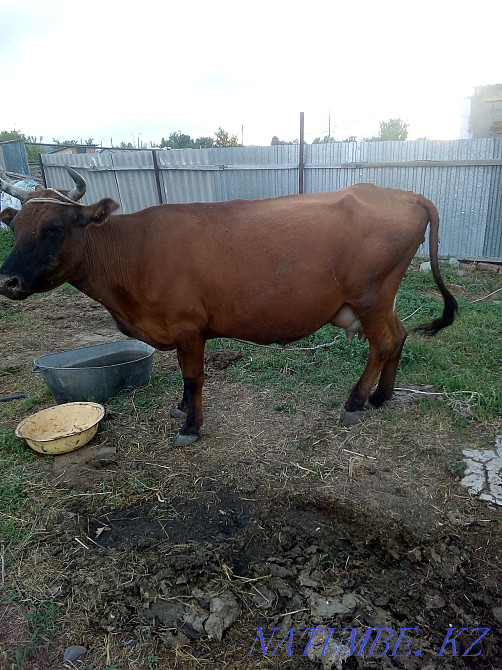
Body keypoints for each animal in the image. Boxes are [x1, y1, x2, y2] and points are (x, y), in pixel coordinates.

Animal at [0, 168, 457, 445]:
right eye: (15, 227)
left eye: (54, 228)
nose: (7, 281)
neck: (132, 251)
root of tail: (406, 195)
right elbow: (184, 380)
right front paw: (182, 409)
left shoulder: (187, 326)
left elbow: (193, 377)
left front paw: (191, 425)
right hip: (380, 299)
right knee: (398, 337)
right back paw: (381, 397)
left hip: (370, 296)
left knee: (382, 344)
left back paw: (356, 403)